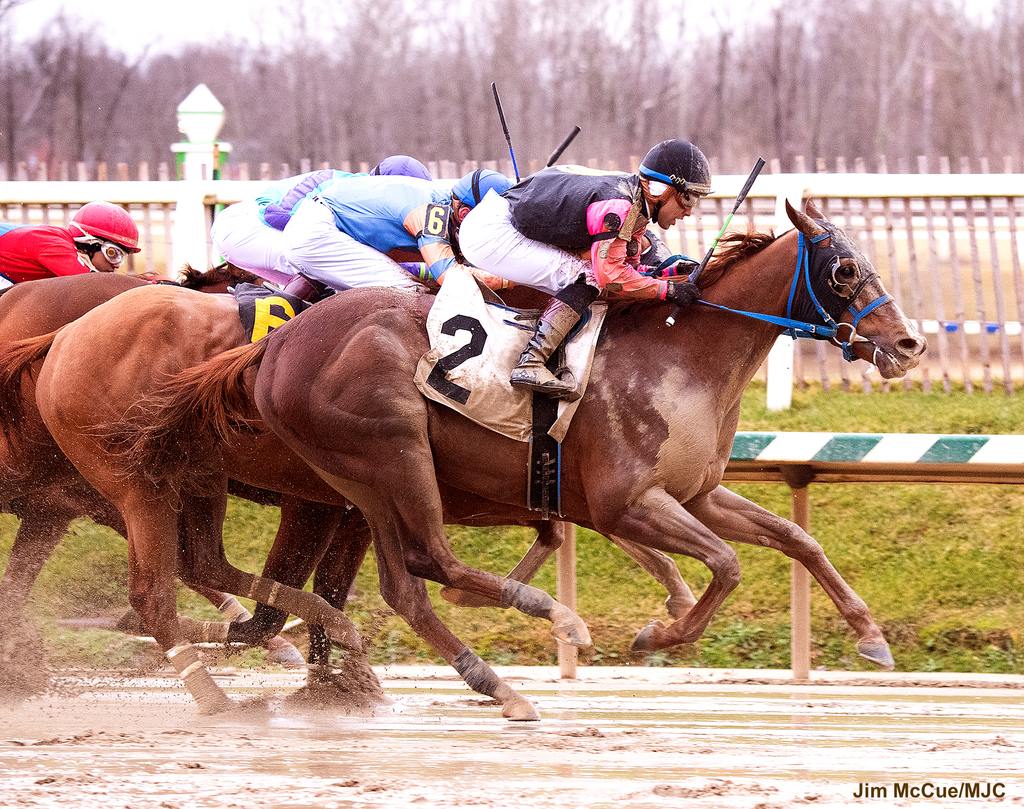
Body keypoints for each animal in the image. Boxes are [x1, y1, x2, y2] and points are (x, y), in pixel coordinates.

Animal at [123, 200, 925, 704]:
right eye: (844, 268)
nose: (908, 343)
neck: (681, 354)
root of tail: (280, 340)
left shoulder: (695, 493)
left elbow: (795, 536)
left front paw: (870, 637)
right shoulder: (626, 503)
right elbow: (725, 565)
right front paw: (659, 631)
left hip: (360, 485)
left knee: (400, 584)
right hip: (390, 452)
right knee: (425, 564)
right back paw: (536, 637)